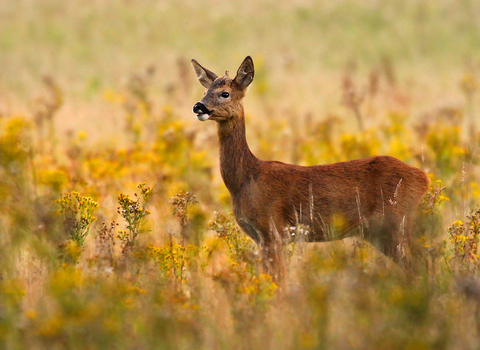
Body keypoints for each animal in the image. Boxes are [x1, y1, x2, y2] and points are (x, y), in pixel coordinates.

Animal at [190, 56, 428, 278]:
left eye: (225, 93)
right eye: (205, 90)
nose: (198, 106)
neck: (245, 179)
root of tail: (424, 178)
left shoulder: (273, 229)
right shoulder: (263, 237)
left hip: (397, 221)